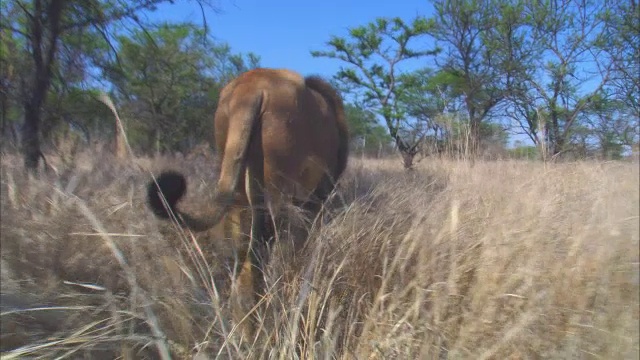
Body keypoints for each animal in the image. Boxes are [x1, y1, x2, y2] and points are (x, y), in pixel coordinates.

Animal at [147, 68, 348, 340]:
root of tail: (251, 88)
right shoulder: (313, 201)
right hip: (280, 192)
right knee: (271, 255)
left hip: (237, 183)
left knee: (242, 254)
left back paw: (244, 328)